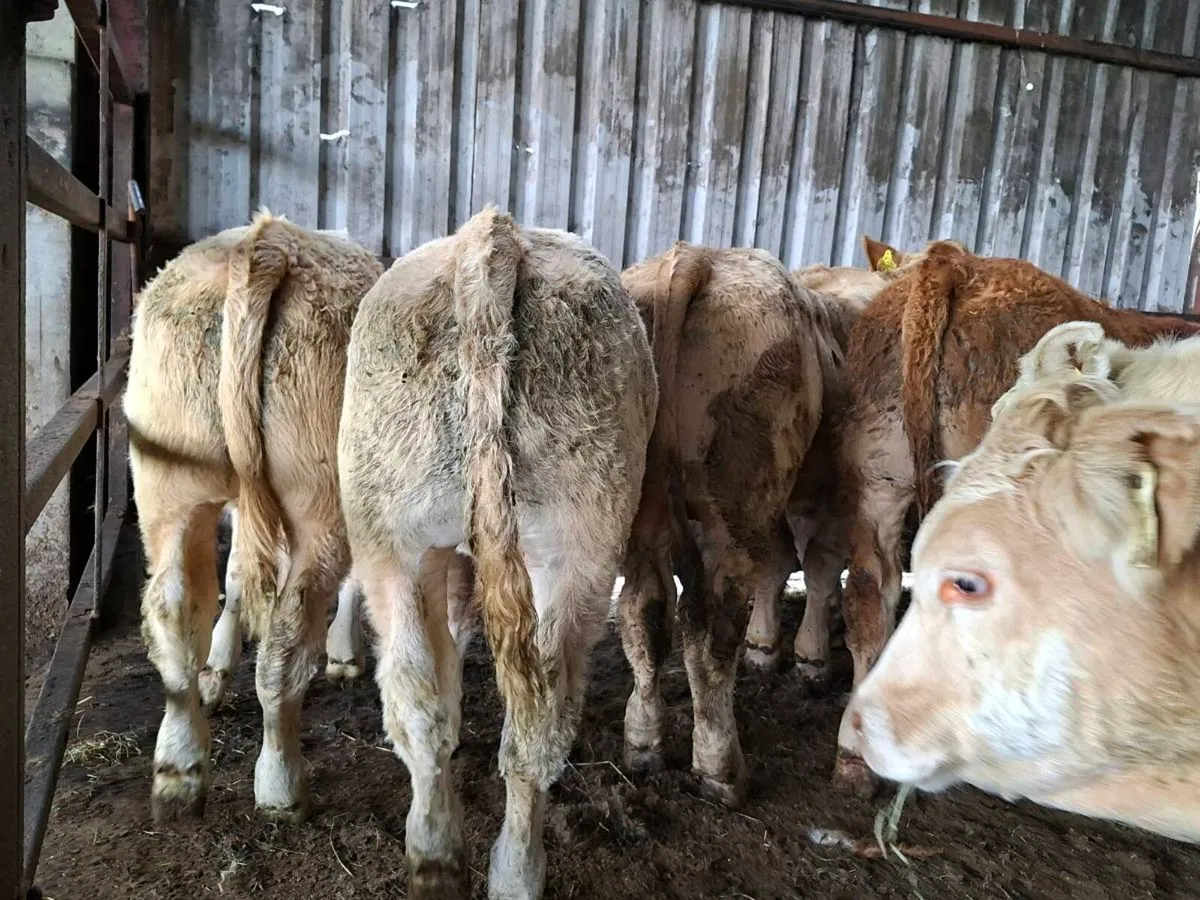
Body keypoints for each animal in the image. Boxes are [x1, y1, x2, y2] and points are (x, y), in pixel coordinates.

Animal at [124, 212, 382, 823]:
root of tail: (267, 244)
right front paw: (344, 654)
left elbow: (239, 574)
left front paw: (217, 670)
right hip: (321, 503)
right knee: (285, 644)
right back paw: (281, 784)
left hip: (167, 484)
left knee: (172, 613)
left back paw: (179, 767)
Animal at [337, 207, 656, 899]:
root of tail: (491, 239)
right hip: (574, 553)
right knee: (534, 718)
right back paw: (508, 869)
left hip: (392, 541)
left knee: (422, 700)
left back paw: (440, 856)